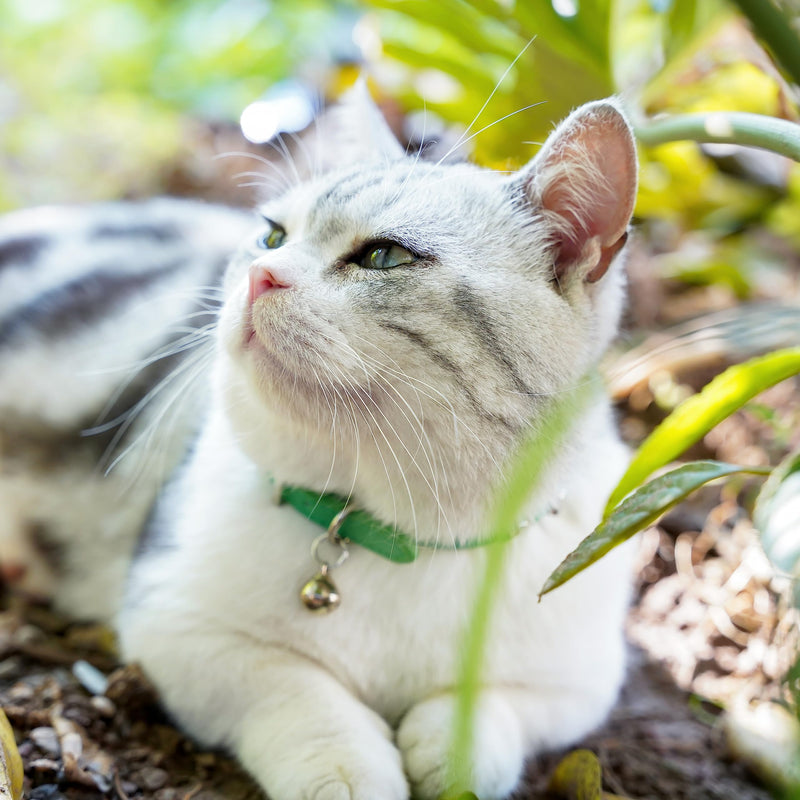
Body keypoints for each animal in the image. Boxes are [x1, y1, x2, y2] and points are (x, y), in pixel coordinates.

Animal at [0, 89, 636, 800]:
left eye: (383, 257)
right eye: (273, 235)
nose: (261, 273)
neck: (406, 536)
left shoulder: (584, 679)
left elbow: (489, 708)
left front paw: (456, 750)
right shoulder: (175, 620)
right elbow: (300, 692)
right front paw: (348, 766)